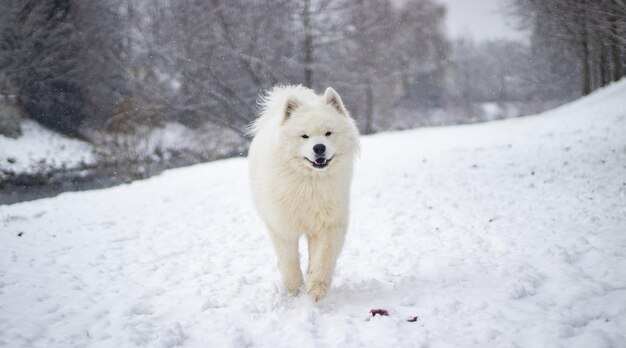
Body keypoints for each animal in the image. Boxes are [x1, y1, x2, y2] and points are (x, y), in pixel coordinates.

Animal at [246, 85, 358, 302]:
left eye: (328, 133)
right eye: (304, 136)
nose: (319, 147)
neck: (310, 183)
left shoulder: (329, 224)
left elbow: (323, 257)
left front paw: (316, 288)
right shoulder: (282, 226)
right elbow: (289, 261)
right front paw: (293, 290)